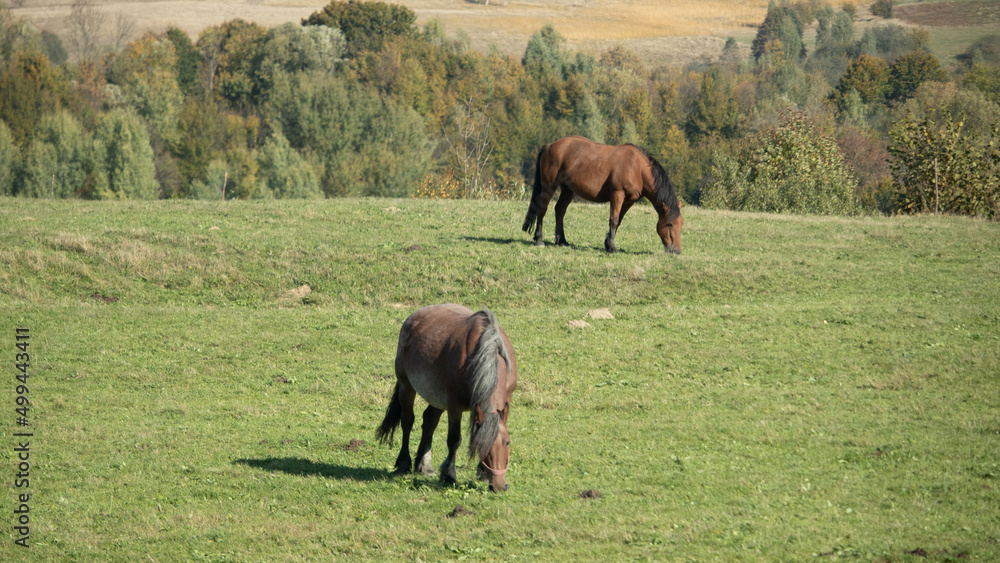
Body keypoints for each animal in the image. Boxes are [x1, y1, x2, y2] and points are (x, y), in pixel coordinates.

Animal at [374, 304, 516, 494]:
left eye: (507, 442)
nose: (499, 486)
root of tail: (414, 316)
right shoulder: (454, 406)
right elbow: (454, 439)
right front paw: (449, 475)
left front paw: (482, 474)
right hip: (406, 387)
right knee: (407, 421)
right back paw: (404, 463)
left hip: (437, 397)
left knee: (429, 421)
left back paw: (424, 464)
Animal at [520, 136, 684, 253]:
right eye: (669, 224)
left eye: (681, 224)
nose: (676, 250)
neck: (637, 168)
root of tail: (549, 145)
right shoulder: (617, 194)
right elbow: (613, 219)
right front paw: (611, 246)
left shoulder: (628, 201)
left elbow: (618, 221)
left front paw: (608, 243)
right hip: (549, 185)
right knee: (542, 209)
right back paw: (539, 239)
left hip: (567, 189)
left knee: (560, 210)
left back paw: (562, 241)